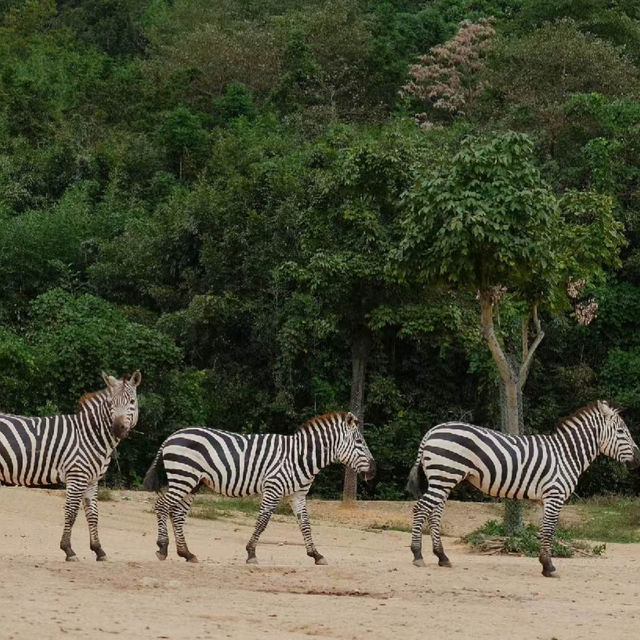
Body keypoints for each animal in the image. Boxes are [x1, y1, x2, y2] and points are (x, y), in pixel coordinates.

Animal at [0, 370, 141, 560]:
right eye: (111, 403)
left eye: (132, 401)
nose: (118, 428)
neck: (89, 435)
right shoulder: (77, 476)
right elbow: (71, 512)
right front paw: (68, 549)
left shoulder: (92, 480)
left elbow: (93, 514)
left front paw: (98, 549)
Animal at [144, 410, 376, 564]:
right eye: (359, 442)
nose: (374, 470)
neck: (300, 457)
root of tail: (172, 436)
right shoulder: (273, 488)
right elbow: (262, 521)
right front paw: (251, 553)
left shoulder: (298, 495)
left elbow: (305, 525)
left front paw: (316, 554)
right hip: (184, 477)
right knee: (162, 506)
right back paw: (163, 548)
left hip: (192, 482)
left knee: (177, 514)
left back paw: (186, 553)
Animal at [408, 400, 640, 576]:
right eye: (621, 431)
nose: (638, 459)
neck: (566, 455)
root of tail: (432, 431)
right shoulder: (554, 495)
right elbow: (549, 530)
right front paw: (548, 566)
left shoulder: (545, 498)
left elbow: (544, 529)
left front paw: (544, 563)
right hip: (444, 475)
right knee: (420, 509)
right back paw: (418, 555)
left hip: (443, 478)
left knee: (435, 513)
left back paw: (442, 556)